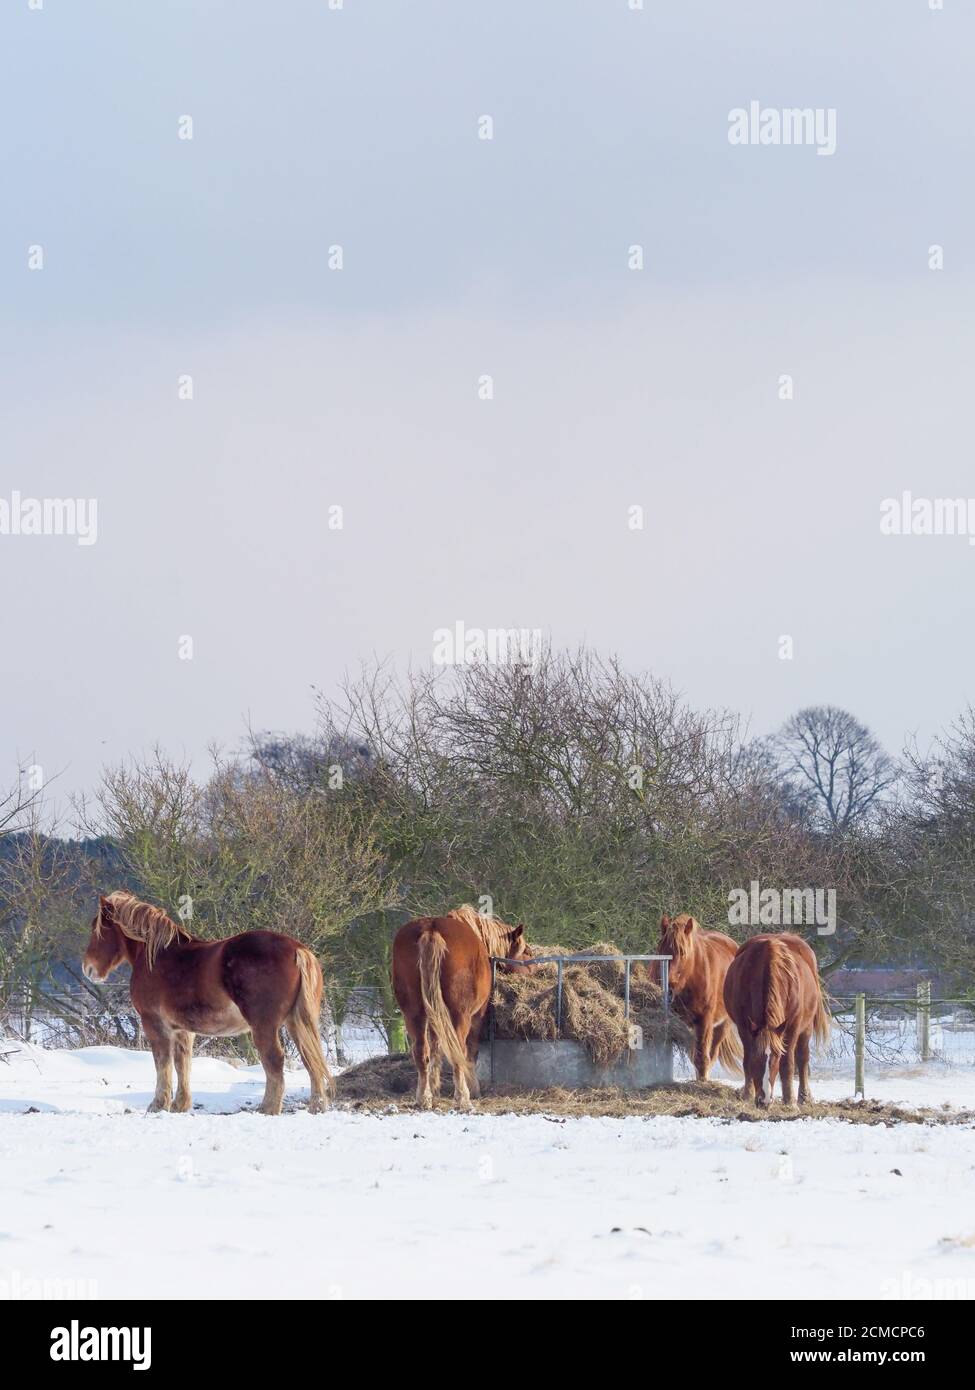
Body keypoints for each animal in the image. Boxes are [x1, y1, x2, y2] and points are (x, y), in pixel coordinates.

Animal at [80, 889, 331, 1117]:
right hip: (296, 1022)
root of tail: (297, 949)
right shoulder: (182, 1030)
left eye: (97, 929)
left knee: (275, 1062)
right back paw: (316, 1107)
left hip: (265, 1027)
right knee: (311, 1059)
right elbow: (183, 1064)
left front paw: (158, 1105)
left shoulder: (155, 1024)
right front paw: (179, 1105)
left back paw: (268, 1109)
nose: (87, 968)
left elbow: (163, 1063)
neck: (157, 957)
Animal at [389, 906, 531, 1112]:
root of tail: (431, 930)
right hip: (459, 1015)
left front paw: (435, 1088)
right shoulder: (476, 1016)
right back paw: (463, 1098)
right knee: (458, 1052)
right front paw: (473, 1088)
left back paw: (424, 1097)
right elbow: (471, 1052)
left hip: (413, 1013)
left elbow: (436, 1048)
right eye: (527, 952)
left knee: (421, 1051)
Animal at [650, 917, 739, 1078]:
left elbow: (702, 1058)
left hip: (723, 1024)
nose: (668, 989)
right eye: (660, 950)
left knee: (711, 1054)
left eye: (683, 952)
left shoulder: (704, 1021)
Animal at [723, 934, 828, 1106]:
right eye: (757, 1059)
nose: (764, 1100)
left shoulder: (791, 1027)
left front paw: (790, 1101)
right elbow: (746, 1060)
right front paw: (748, 1094)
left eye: (776, 1058)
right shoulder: (744, 1027)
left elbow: (788, 1063)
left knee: (803, 1058)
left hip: (806, 1028)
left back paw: (804, 1096)